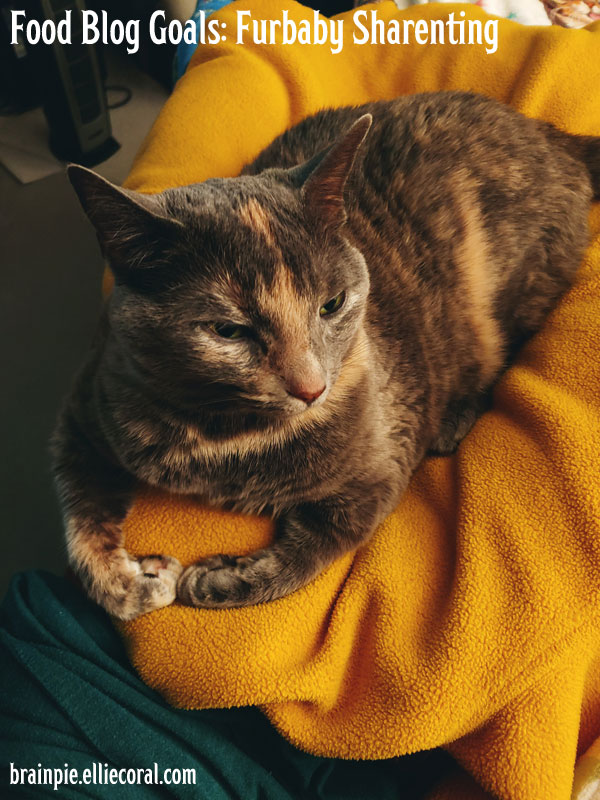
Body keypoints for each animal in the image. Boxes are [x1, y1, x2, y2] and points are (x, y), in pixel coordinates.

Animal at [52, 90, 600, 620]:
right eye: (228, 330)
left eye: (332, 304)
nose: (311, 387)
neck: (227, 438)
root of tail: (550, 136)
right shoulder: (91, 403)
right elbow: (77, 519)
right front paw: (130, 585)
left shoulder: (383, 465)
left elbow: (318, 547)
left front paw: (216, 579)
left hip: (514, 291)